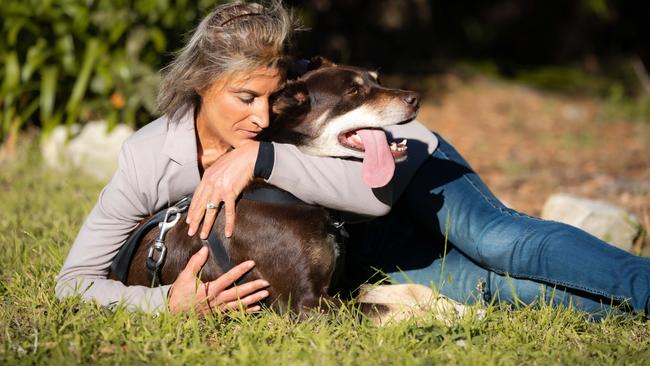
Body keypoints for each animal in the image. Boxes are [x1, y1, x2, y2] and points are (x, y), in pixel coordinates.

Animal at [107, 58, 420, 316]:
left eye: (377, 80)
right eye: (353, 92)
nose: (415, 98)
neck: (286, 192)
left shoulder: (340, 282)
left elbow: (408, 291)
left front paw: (433, 306)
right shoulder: (307, 304)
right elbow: (390, 309)